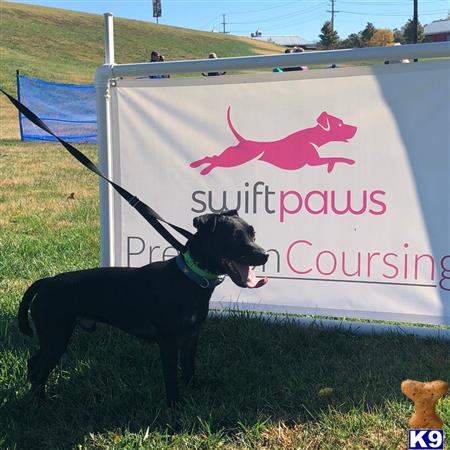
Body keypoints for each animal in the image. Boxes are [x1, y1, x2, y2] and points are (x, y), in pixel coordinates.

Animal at [18, 210, 268, 404]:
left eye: (253, 233)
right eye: (233, 237)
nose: (264, 255)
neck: (189, 277)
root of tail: (46, 282)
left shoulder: (191, 336)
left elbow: (188, 367)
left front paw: (193, 390)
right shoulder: (168, 341)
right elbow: (171, 375)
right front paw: (175, 405)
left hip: (52, 338)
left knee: (34, 364)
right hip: (56, 337)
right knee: (40, 369)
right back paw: (41, 403)